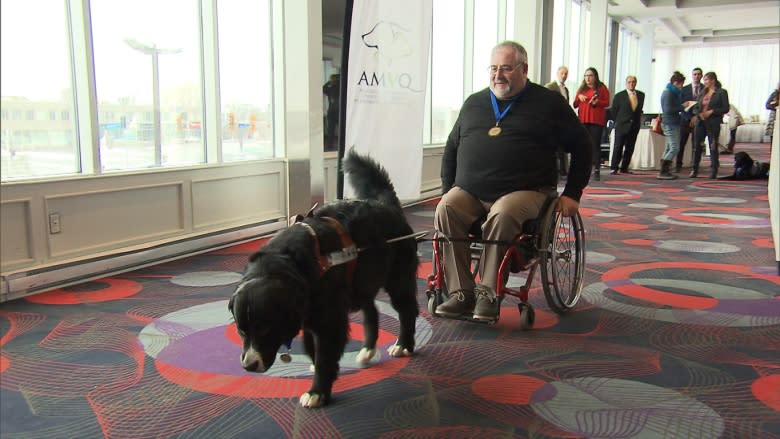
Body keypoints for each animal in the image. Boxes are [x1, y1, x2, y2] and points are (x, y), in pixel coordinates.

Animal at [227, 149, 420, 410]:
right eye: (241, 331)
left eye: (265, 328)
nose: (248, 365)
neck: (292, 262)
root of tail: (387, 205)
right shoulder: (310, 313)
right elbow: (311, 347)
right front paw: (316, 366)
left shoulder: (329, 319)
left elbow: (325, 354)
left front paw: (317, 391)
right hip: (360, 282)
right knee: (372, 311)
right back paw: (368, 349)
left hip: (398, 281)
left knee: (407, 311)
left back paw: (404, 344)